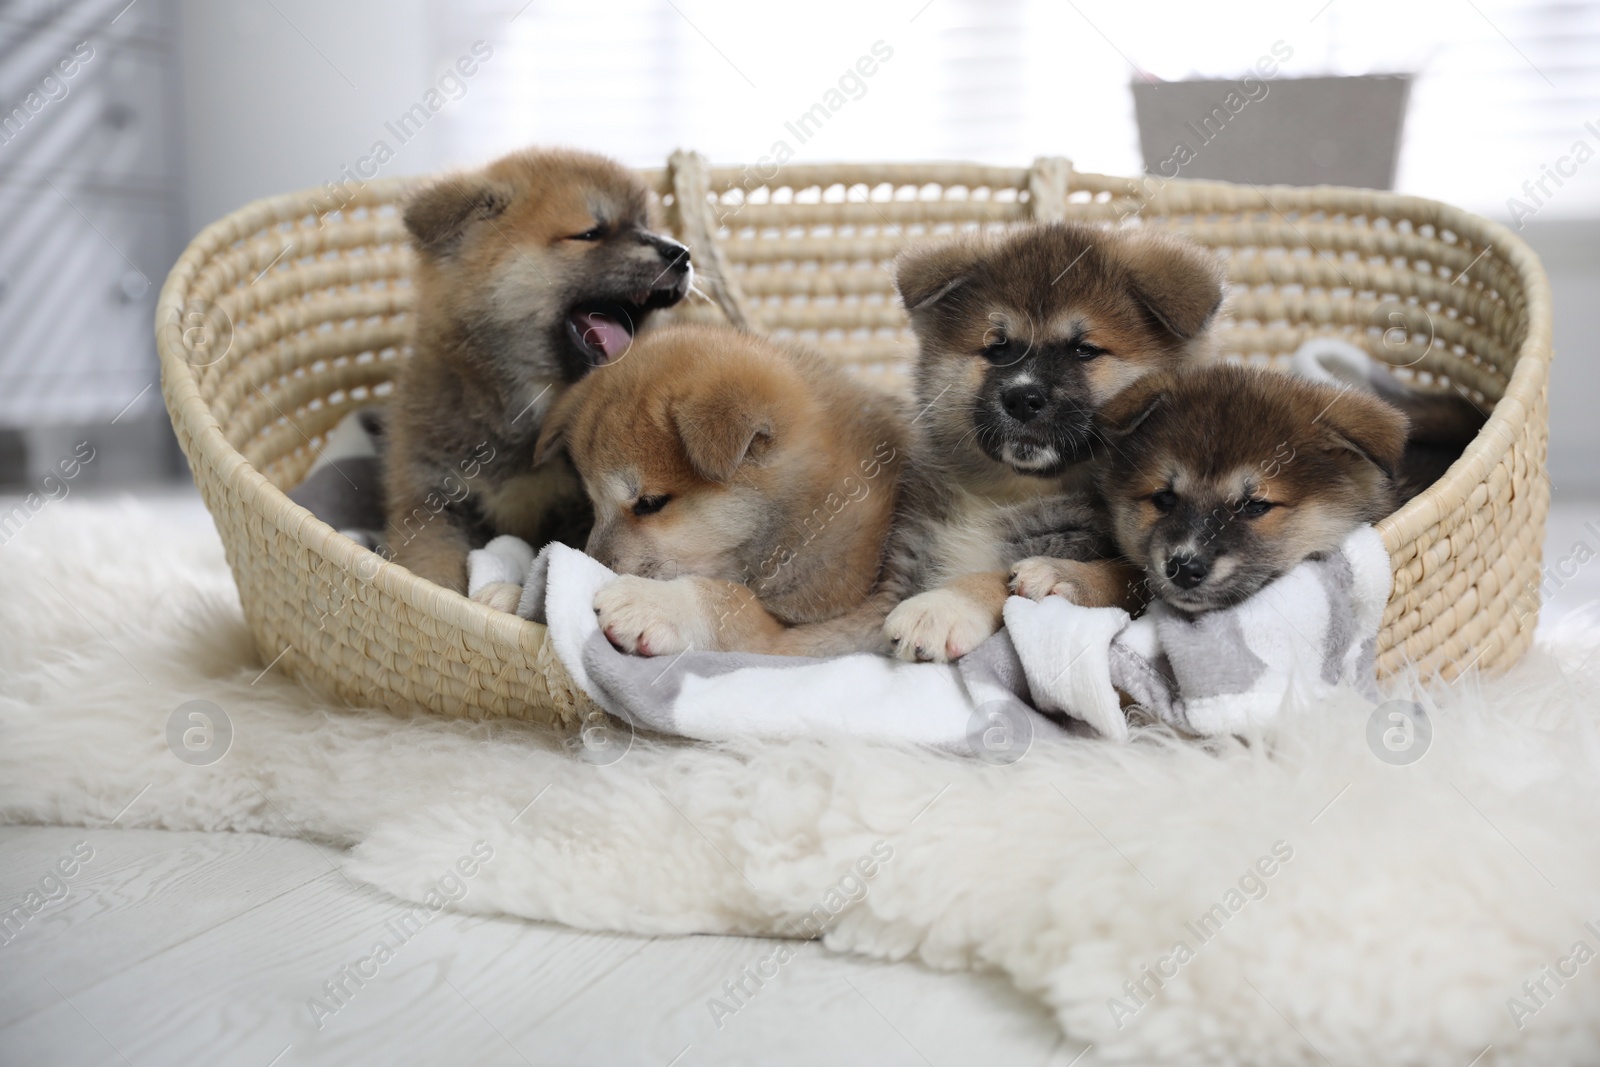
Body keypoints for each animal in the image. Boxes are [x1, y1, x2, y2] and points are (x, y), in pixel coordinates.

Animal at [387, 144, 694, 591]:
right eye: (590, 233)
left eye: (647, 224)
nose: (682, 253)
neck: (527, 406)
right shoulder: (432, 503)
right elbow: (431, 569)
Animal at [531, 321, 908, 655]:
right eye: (593, 502)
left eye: (650, 503)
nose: (593, 565)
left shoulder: (809, 630)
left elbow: (729, 600)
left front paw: (654, 603)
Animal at [883, 223, 1228, 659]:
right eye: (998, 348)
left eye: (1084, 350)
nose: (1022, 397)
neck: (1010, 494)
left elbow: (1014, 581)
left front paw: (943, 607)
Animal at [1017, 364, 1408, 614]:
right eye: (1164, 498)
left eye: (1255, 506)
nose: (1184, 568)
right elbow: (1133, 574)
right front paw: (1067, 572)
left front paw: (1062, 573)